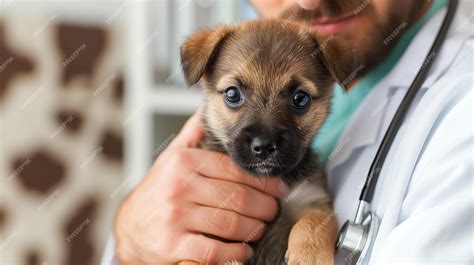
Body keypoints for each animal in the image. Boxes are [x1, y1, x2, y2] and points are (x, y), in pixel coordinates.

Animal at [180, 19, 354, 262]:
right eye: (232, 94)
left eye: (300, 98)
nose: (263, 147)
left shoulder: (312, 200)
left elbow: (313, 224)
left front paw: (308, 256)